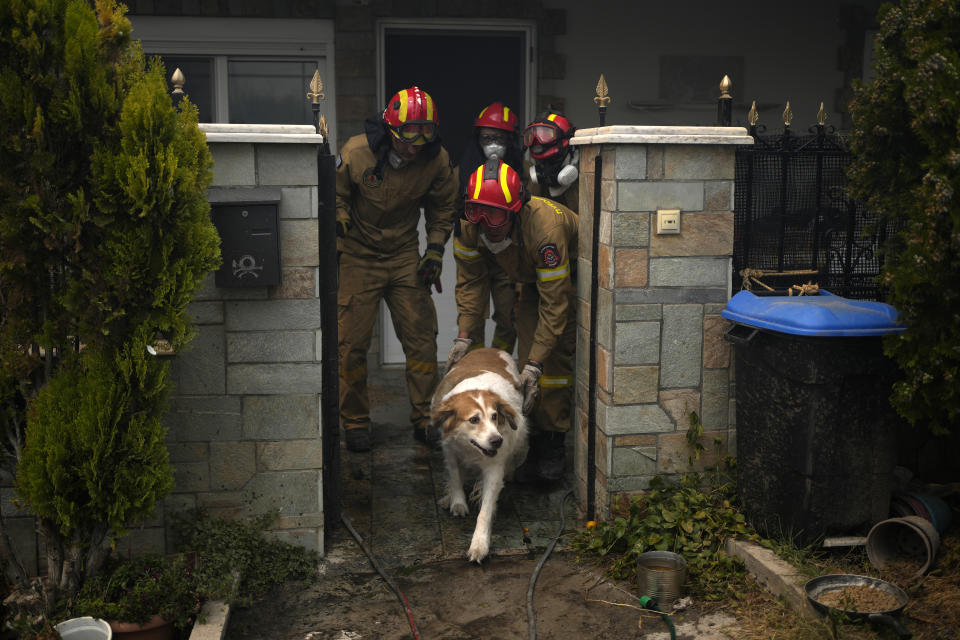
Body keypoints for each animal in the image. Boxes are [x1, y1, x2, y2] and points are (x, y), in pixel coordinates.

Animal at [432, 348, 528, 564]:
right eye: (474, 420)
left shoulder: (494, 468)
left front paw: (479, 544)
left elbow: (485, 510)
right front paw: (457, 501)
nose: (497, 440)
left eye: (494, 416)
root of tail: (491, 348)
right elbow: (454, 477)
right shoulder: (449, 450)